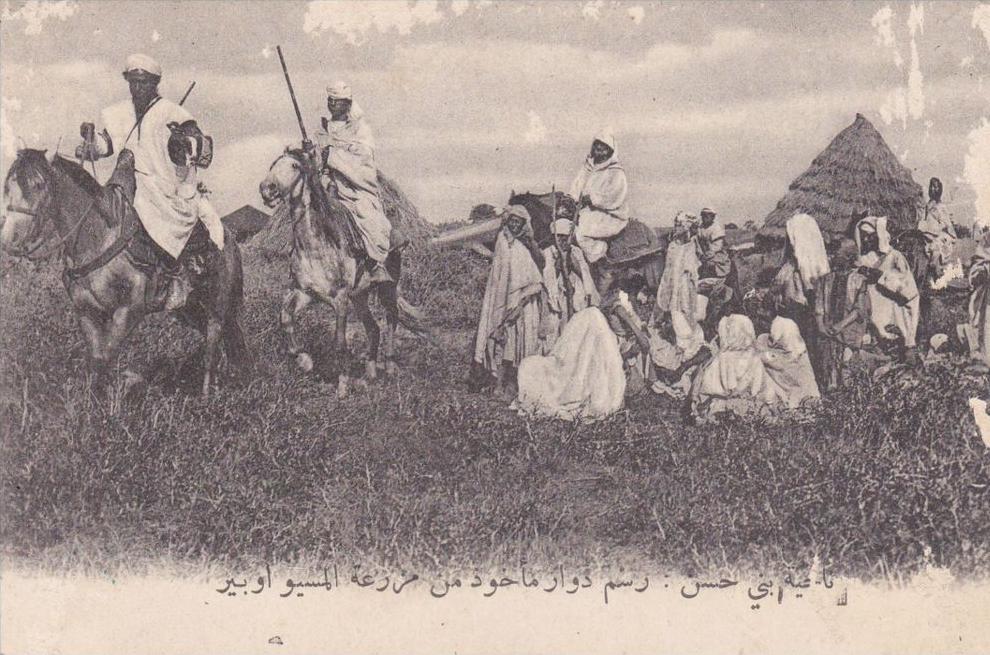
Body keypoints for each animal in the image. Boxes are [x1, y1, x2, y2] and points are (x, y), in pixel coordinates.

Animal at [1, 149, 250, 398]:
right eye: (7, 187)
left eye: (39, 184)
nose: (10, 240)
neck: (97, 241)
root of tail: (228, 238)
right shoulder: (86, 313)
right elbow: (96, 359)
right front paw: (95, 400)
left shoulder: (129, 310)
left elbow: (106, 355)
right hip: (189, 309)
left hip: (217, 306)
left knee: (212, 347)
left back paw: (207, 398)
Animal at [258, 149, 428, 394]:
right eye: (273, 165)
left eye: (294, 166)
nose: (266, 189)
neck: (316, 246)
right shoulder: (305, 293)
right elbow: (285, 318)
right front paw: (304, 360)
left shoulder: (340, 299)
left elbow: (340, 343)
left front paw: (342, 386)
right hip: (360, 296)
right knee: (373, 328)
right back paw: (370, 374)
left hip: (387, 288)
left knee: (391, 320)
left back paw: (389, 366)